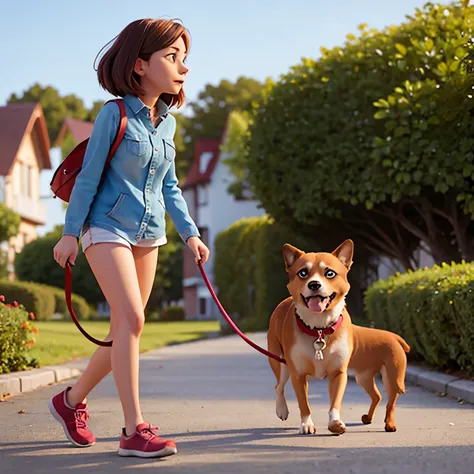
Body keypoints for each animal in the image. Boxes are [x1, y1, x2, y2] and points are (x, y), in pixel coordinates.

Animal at [268, 239, 410, 436]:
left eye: (330, 273)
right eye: (303, 273)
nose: (314, 284)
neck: (319, 328)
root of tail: (395, 337)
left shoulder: (338, 372)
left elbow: (335, 401)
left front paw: (335, 423)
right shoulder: (298, 373)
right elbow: (304, 403)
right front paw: (306, 424)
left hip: (391, 375)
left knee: (389, 399)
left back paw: (388, 423)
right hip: (281, 362)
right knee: (279, 386)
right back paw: (282, 409)